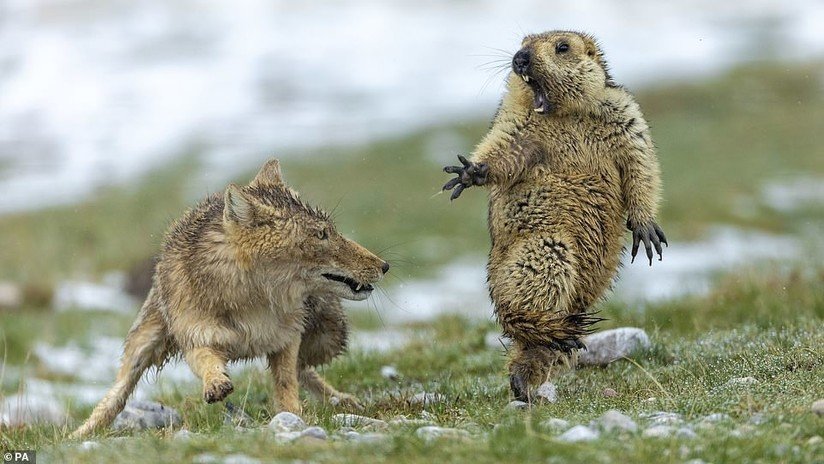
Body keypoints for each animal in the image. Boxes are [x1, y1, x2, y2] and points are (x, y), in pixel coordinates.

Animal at [71, 158, 389, 438]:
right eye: (321, 235)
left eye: (331, 231)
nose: (385, 265)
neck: (253, 302)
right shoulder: (197, 338)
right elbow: (207, 362)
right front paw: (216, 384)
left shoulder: (286, 338)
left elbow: (286, 382)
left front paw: (294, 416)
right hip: (143, 343)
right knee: (116, 395)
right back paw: (80, 433)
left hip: (329, 336)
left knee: (305, 369)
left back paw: (342, 400)